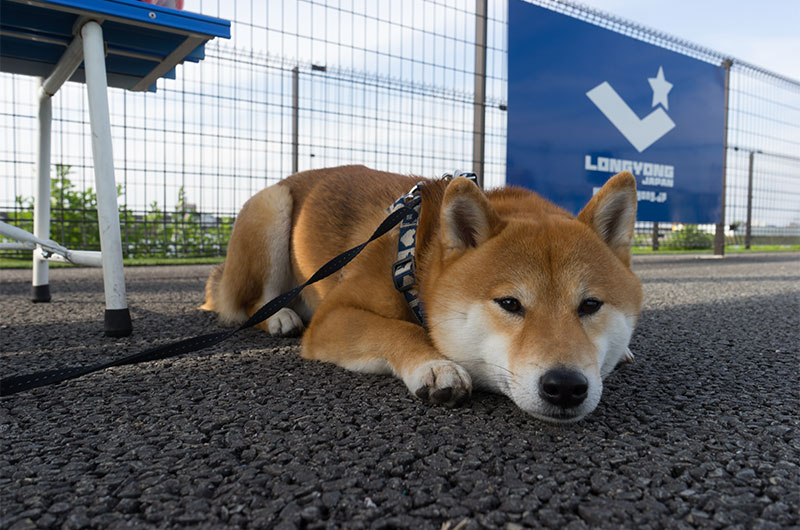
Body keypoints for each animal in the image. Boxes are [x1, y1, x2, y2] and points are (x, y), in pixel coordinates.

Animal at [202, 165, 644, 420]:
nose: (565, 386)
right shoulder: (334, 315)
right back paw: (280, 316)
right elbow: (400, 329)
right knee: (248, 306)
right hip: (271, 208)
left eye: (590, 305)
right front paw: (435, 364)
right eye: (510, 304)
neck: (418, 255)